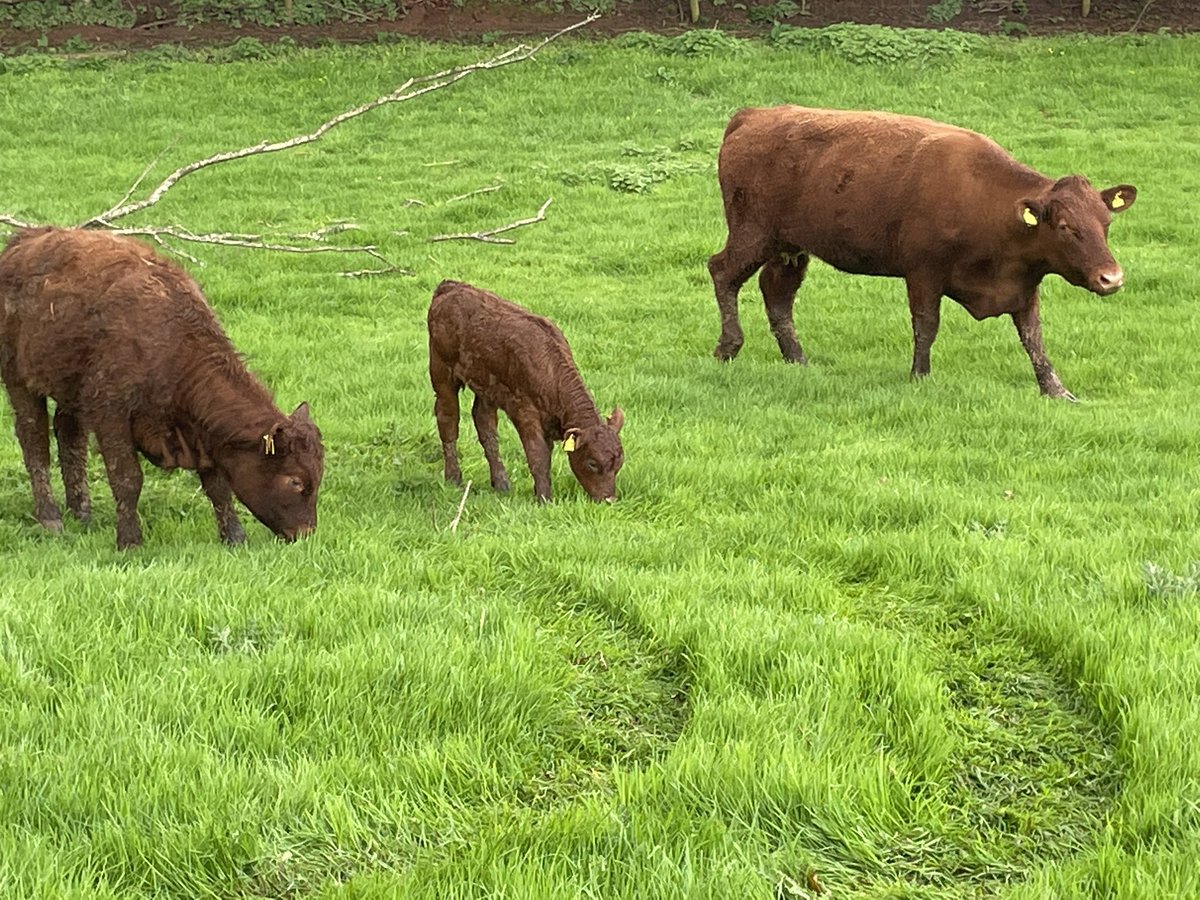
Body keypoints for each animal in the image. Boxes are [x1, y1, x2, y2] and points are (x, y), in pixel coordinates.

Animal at [0, 227, 324, 549]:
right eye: (295, 480)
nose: (305, 533)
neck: (173, 345)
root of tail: (24, 240)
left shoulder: (199, 434)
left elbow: (218, 486)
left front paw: (234, 537)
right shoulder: (111, 415)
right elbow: (128, 478)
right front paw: (130, 541)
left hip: (71, 391)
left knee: (69, 437)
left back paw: (82, 513)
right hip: (19, 381)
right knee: (35, 442)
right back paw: (50, 517)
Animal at [428, 280, 625, 504]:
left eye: (619, 464)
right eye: (592, 463)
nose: (608, 500)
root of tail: (451, 286)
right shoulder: (524, 410)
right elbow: (537, 455)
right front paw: (545, 500)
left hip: (486, 386)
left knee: (485, 425)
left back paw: (501, 483)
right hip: (441, 369)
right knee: (448, 420)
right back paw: (453, 479)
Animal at [708, 106, 1137, 400]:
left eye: (1106, 222)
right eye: (1065, 227)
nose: (1111, 278)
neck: (986, 202)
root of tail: (754, 115)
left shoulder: (1023, 284)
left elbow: (1034, 338)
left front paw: (1056, 390)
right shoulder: (923, 273)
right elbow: (926, 325)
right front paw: (920, 376)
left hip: (789, 247)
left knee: (777, 294)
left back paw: (796, 358)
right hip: (753, 233)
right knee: (722, 271)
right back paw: (728, 346)